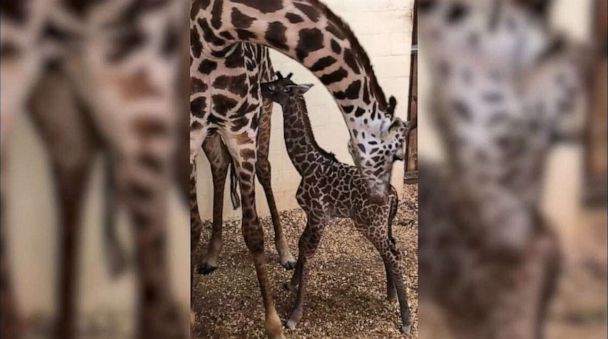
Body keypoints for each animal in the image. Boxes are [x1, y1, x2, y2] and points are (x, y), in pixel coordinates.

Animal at [262, 73, 414, 334]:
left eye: (275, 86)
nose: (260, 87)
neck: (304, 165)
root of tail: (394, 194)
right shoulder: (312, 215)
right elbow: (301, 245)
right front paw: (291, 284)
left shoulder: (319, 217)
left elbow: (308, 254)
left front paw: (294, 316)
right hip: (381, 226)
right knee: (393, 250)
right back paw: (391, 295)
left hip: (370, 226)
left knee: (394, 256)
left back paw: (406, 321)